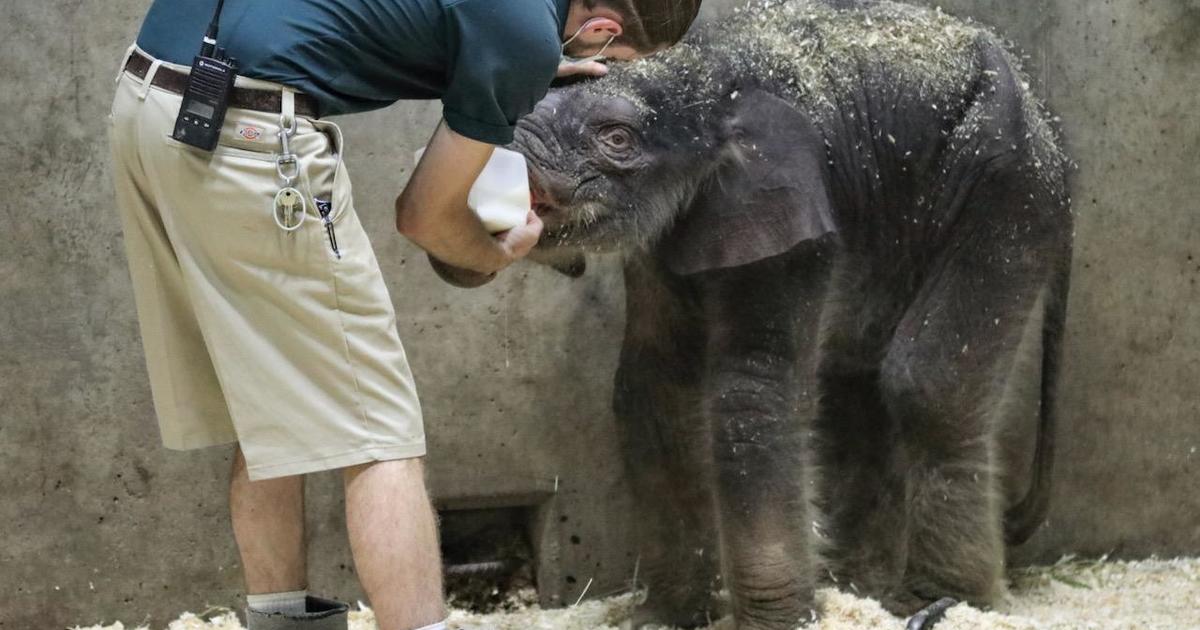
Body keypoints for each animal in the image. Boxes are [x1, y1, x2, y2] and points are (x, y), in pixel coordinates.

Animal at [511, 2, 1075, 624]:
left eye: (616, 137)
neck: (713, 74)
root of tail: (1051, 129)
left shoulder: (793, 212)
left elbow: (752, 392)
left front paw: (775, 623)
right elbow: (652, 390)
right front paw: (665, 618)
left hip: (1008, 189)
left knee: (924, 386)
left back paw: (937, 602)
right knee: (856, 387)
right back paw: (860, 589)